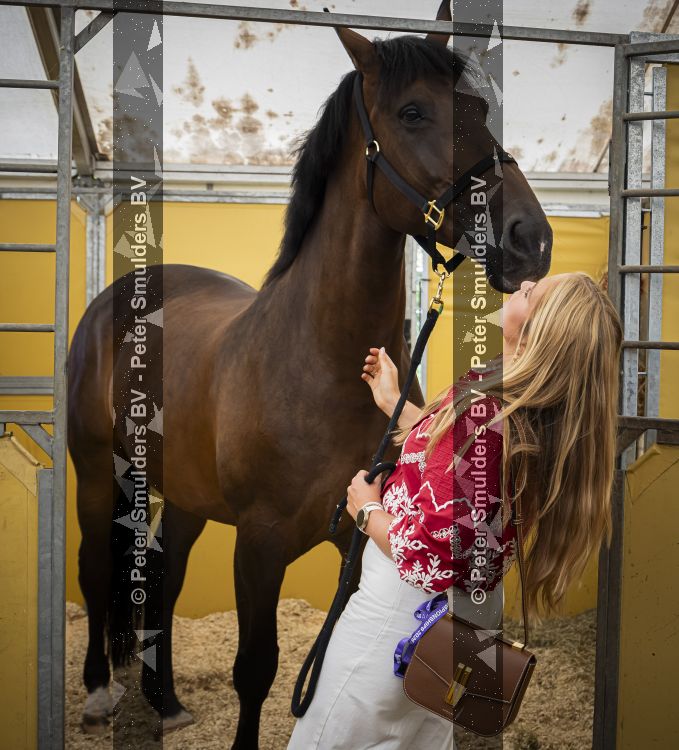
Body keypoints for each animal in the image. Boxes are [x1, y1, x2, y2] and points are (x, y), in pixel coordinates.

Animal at [67, 6, 552, 748]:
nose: (532, 240)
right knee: (96, 569)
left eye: (478, 108)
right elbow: (256, 670)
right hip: (96, 472)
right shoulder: (260, 543)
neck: (319, 364)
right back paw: (99, 691)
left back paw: (166, 698)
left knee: (166, 578)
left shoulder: (354, 535)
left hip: (185, 494)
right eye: (413, 112)